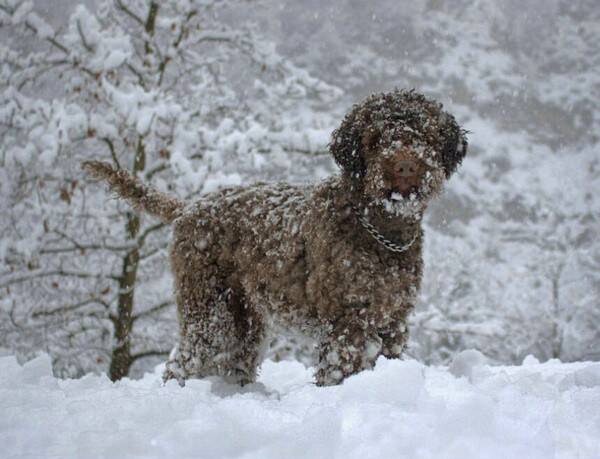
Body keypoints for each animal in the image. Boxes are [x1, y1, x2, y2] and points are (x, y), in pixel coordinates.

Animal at [84, 89, 468, 384]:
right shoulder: (346, 320)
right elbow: (339, 369)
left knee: (231, 359)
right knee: (186, 360)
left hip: (244, 318)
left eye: (425, 136)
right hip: (210, 307)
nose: (405, 166)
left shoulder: (392, 319)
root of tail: (189, 207)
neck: (379, 231)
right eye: (376, 140)